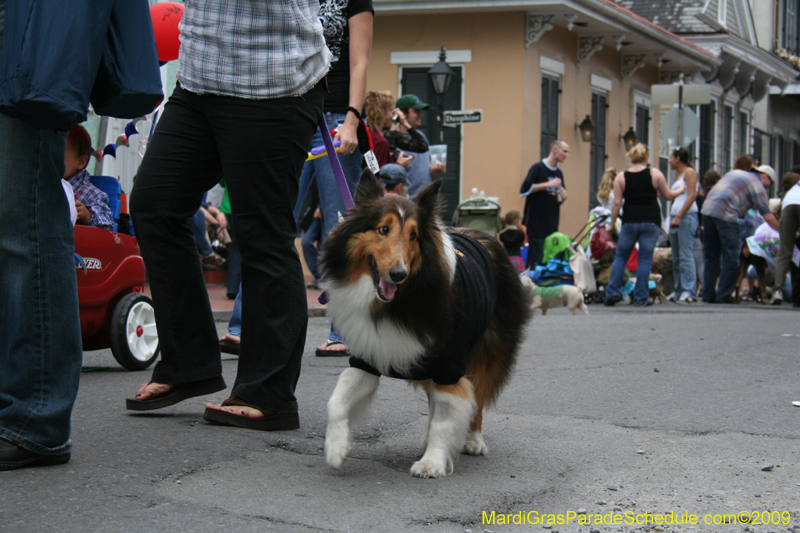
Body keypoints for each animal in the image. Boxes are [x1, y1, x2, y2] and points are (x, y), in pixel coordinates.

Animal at [318, 171, 532, 478]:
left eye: (414, 235)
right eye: (383, 229)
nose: (398, 274)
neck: (398, 303)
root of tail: (482, 235)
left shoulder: (450, 363)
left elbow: (447, 416)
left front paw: (432, 462)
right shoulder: (367, 357)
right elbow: (337, 400)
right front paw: (336, 449)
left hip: (486, 350)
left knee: (478, 397)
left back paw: (473, 440)